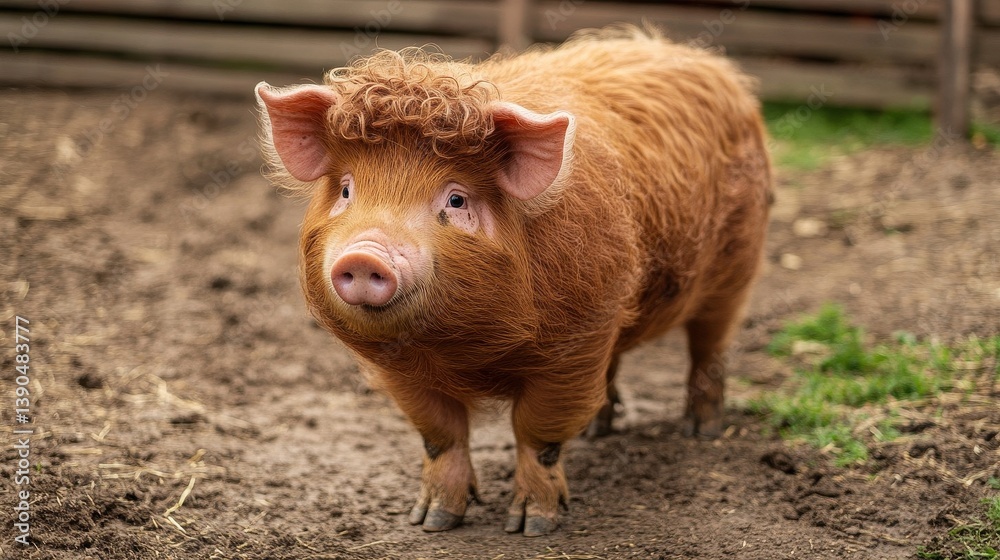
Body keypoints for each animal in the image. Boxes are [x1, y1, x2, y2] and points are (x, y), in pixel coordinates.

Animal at [255, 25, 771, 536]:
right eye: (346, 190)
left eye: (457, 200)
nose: (365, 254)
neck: (459, 349)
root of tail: (704, 60)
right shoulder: (399, 369)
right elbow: (440, 434)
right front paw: (432, 520)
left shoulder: (575, 343)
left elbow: (537, 433)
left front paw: (532, 526)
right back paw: (597, 430)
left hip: (736, 269)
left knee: (709, 348)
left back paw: (701, 429)